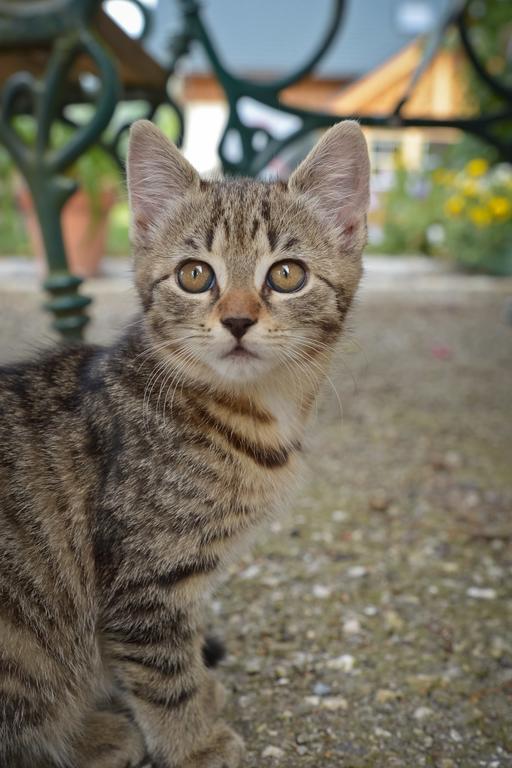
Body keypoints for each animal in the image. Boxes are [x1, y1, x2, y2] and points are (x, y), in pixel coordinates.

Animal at [0, 120, 368, 768]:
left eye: (287, 274)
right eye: (195, 274)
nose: (239, 320)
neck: (253, 412)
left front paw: (203, 694)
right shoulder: (143, 580)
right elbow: (162, 672)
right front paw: (194, 741)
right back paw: (91, 736)